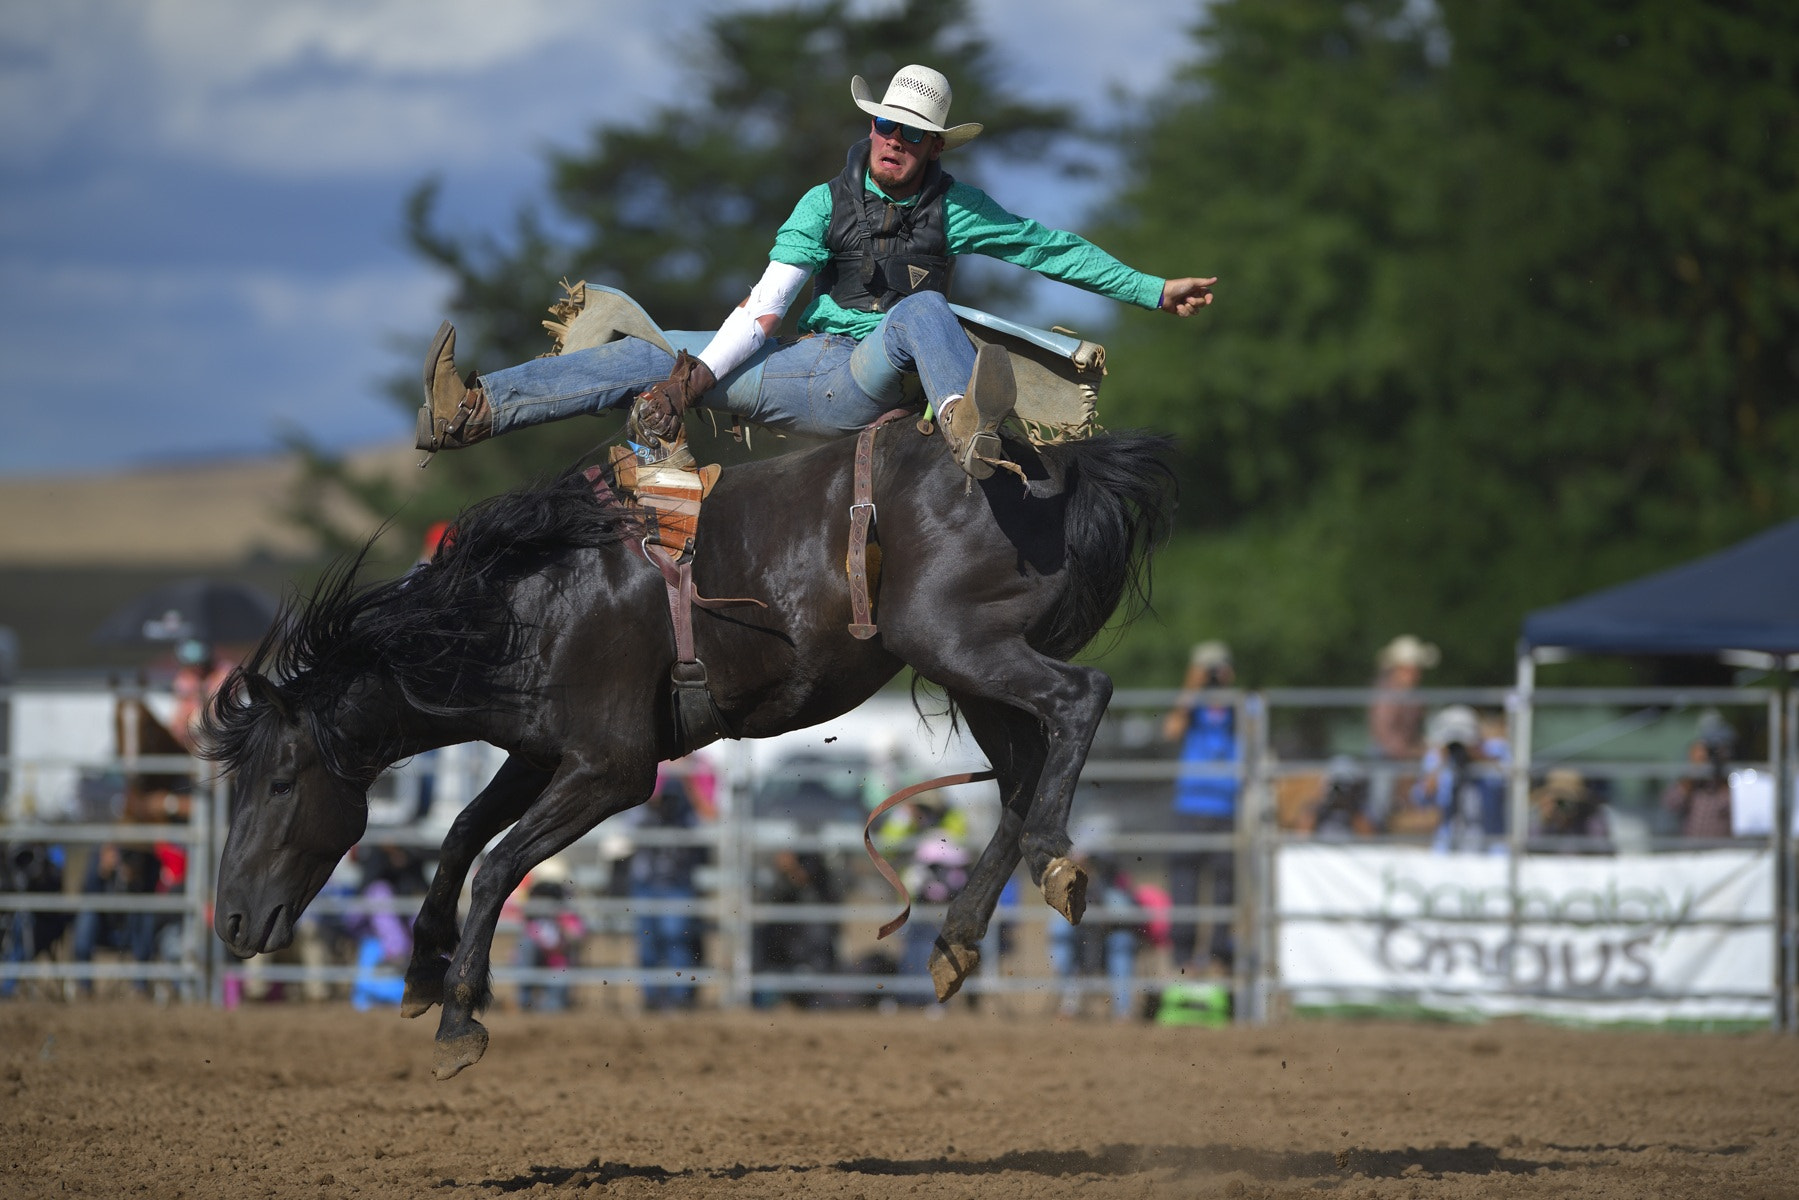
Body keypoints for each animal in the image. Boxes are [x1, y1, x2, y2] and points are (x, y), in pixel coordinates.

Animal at [204, 426, 1172, 1086]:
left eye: (281, 780)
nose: (233, 923)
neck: (522, 608)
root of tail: (1055, 468)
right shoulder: (537, 752)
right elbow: (459, 838)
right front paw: (418, 972)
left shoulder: (613, 770)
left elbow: (499, 864)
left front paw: (457, 1021)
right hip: (966, 668)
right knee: (1017, 776)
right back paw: (956, 940)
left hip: (954, 640)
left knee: (1078, 700)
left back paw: (1055, 864)